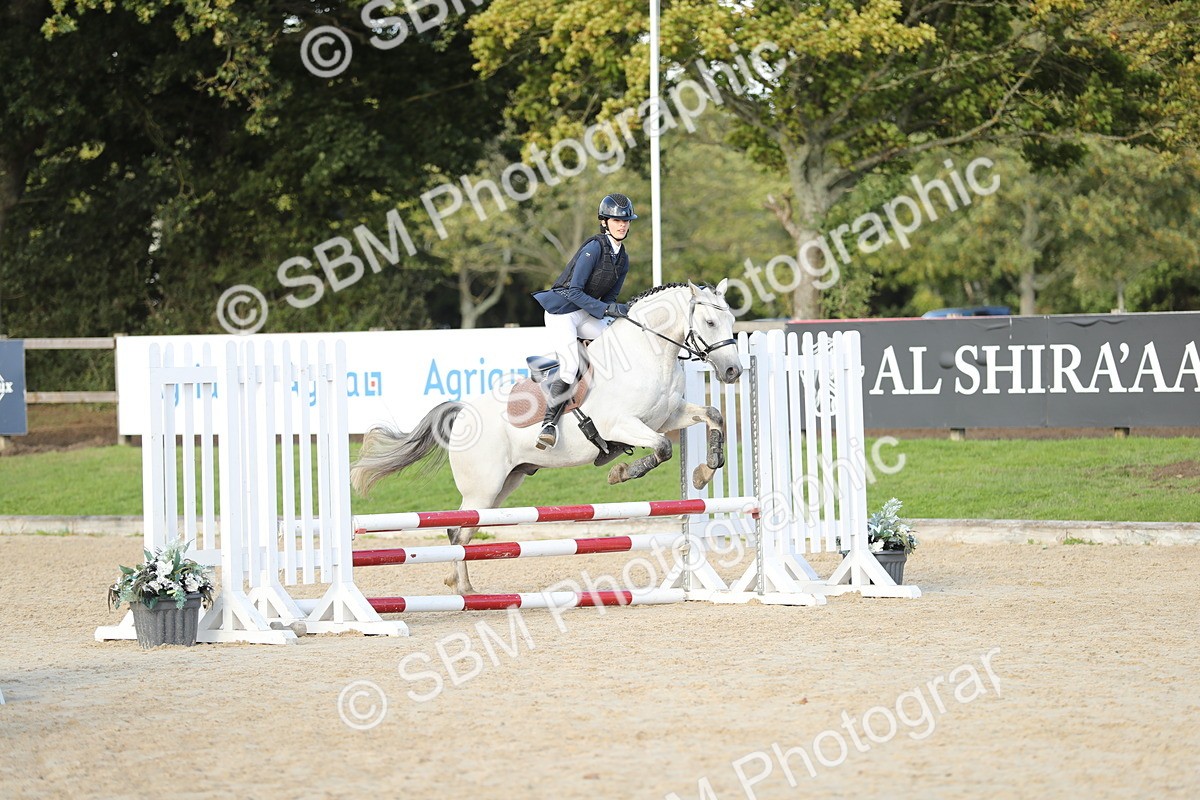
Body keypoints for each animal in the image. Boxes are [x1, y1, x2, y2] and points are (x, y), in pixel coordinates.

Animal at [350, 280, 743, 594]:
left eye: (731, 323)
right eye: (709, 322)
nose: (733, 371)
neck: (648, 353)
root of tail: (461, 412)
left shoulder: (669, 416)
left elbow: (713, 415)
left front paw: (704, 471)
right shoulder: (622, 425)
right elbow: (662, 449)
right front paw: (619, 473)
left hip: (505, 484)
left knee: (464, 531)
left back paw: (461, 585)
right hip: (483, 489)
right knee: (456, 533)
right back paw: (463, 588)